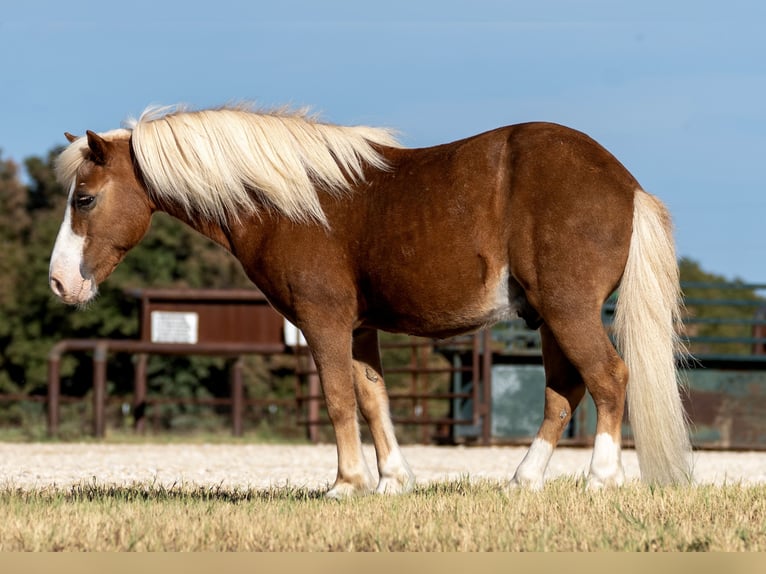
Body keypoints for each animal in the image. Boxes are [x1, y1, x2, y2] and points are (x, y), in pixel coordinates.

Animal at [49, 104, 692, 496]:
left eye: (85, 199)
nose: (59, 282)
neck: (292, 199)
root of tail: (625, 184)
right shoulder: (359, 329)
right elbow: (373, 397)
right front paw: (392, 480)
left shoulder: (323, 322)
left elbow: (337, 399)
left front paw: (345, 483)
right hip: (550, 319)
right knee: (565, 391)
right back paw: (524, 479)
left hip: (568, 310)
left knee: (608, 378)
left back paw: (601, 476)